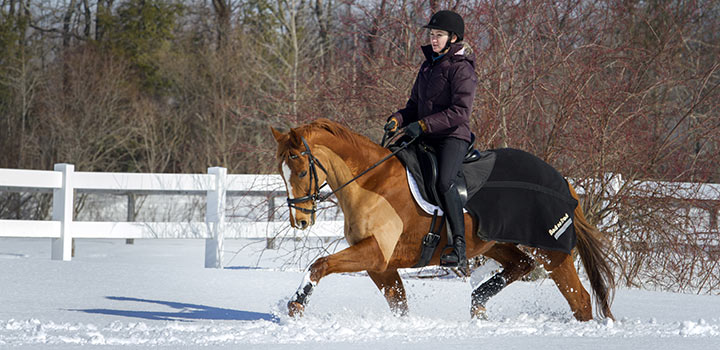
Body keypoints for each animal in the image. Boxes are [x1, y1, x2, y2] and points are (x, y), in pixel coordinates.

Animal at [270, 119, 612, 322]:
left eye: (301, 170)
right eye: (281, 171)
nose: (300, 221)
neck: (373, 183)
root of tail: (561, 180)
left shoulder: (376, 253)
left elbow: (320, 264)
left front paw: (296, 305)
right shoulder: (380, 265)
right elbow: (398, 303)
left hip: (552, 250)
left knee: (580, 300)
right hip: (493, 243)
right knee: (521, 265)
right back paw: (477, 304)